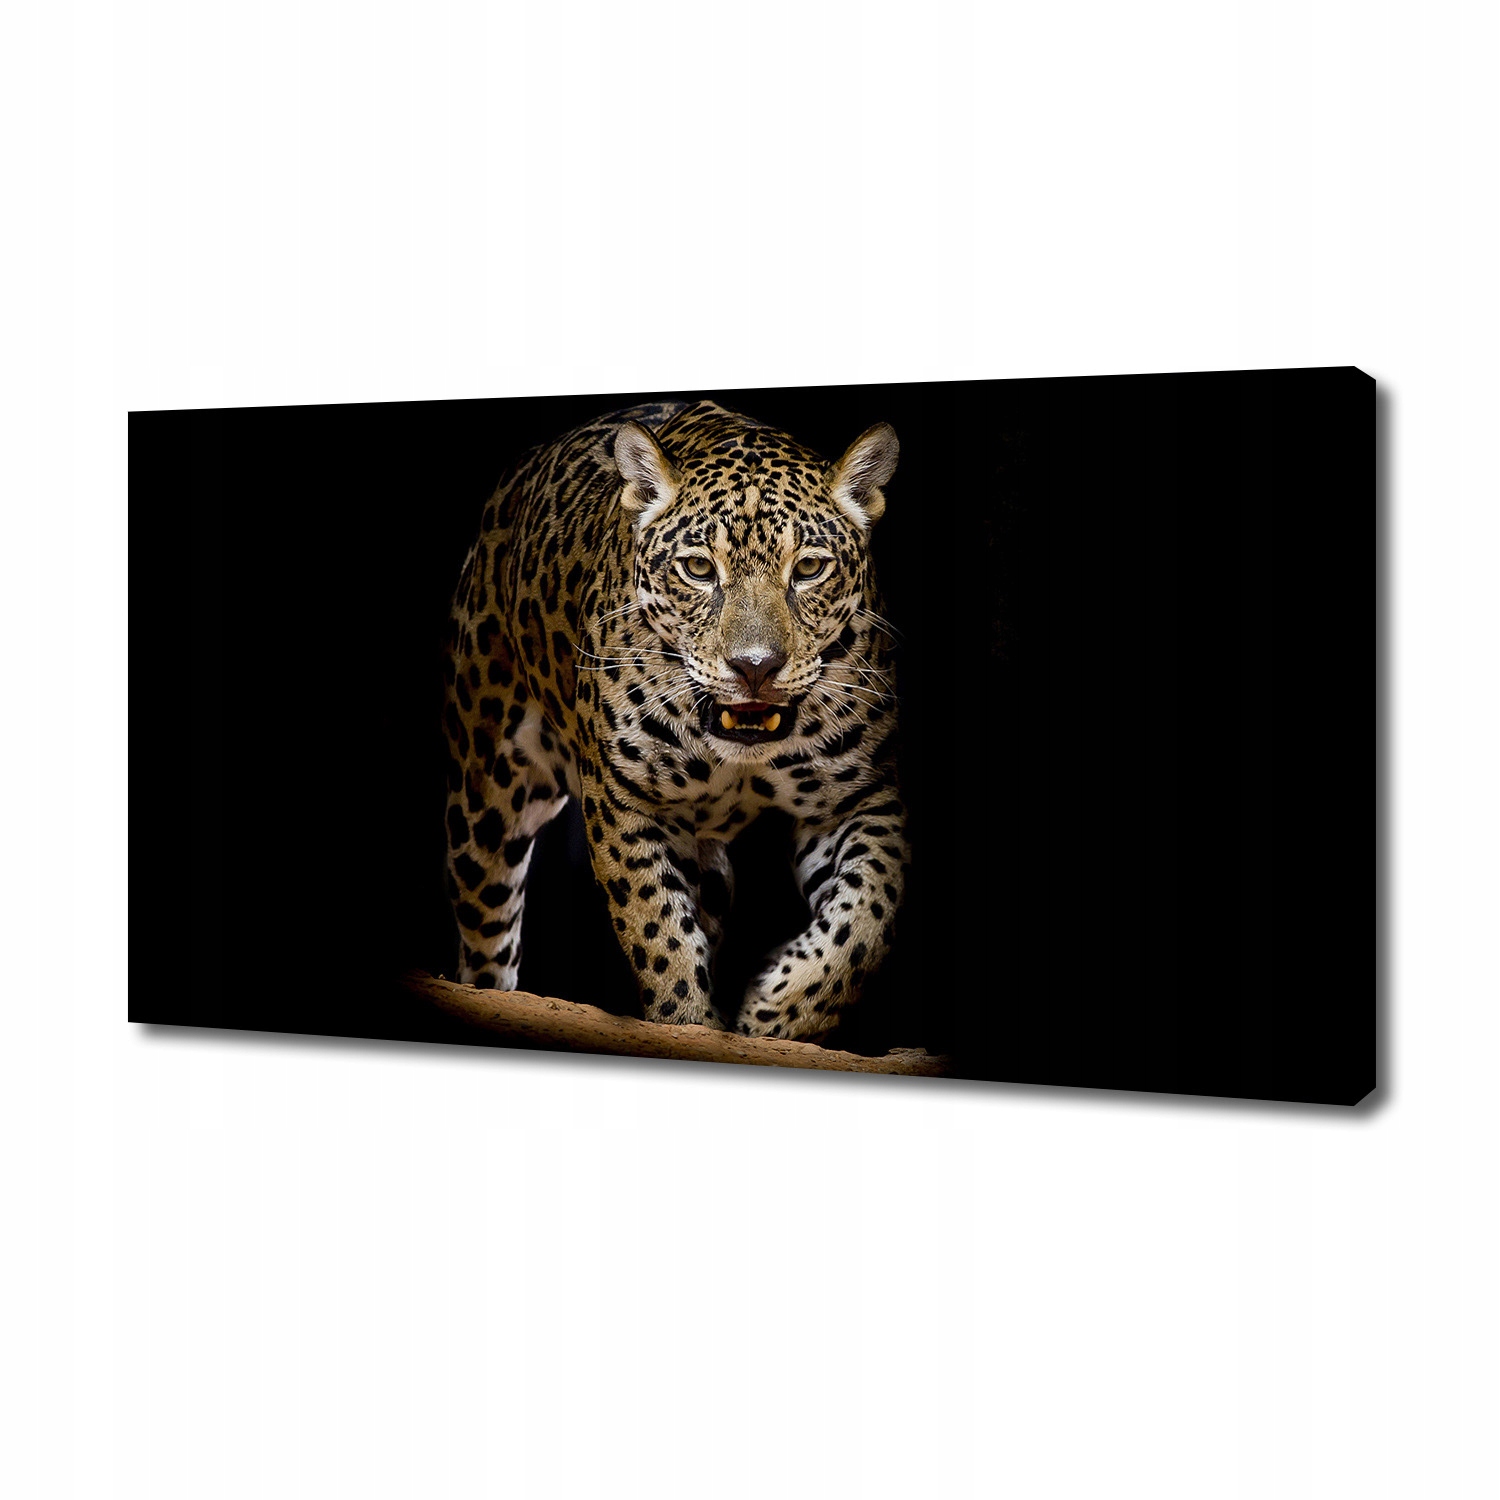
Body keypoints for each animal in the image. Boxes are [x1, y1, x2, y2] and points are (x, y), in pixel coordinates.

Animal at [441, 398, 909, 1042]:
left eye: (810, 568)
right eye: (698, 568)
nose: (755, 667)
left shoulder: (858, 799)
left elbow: (867, 916)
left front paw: (777, 1011)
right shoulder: (624, 804)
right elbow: (657, 932)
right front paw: (688, 1021)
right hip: (488, 794)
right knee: (487, 935)